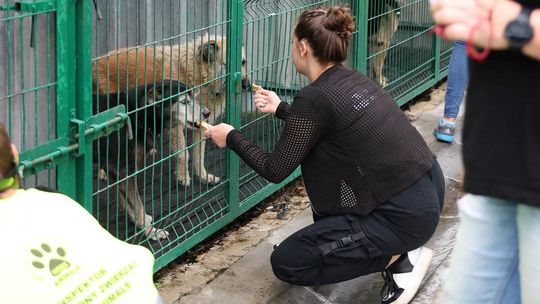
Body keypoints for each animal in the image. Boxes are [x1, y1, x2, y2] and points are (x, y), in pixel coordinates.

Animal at [93, 33, 249, 185]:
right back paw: (103, 171)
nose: (246, 85)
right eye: (227, 64)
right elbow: (183, 153)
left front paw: (203, 176)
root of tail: (97, 61)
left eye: (243, 62)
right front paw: (183, 177)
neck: (198, 72)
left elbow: (199, 155)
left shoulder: (201, 125)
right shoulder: (175, 127)